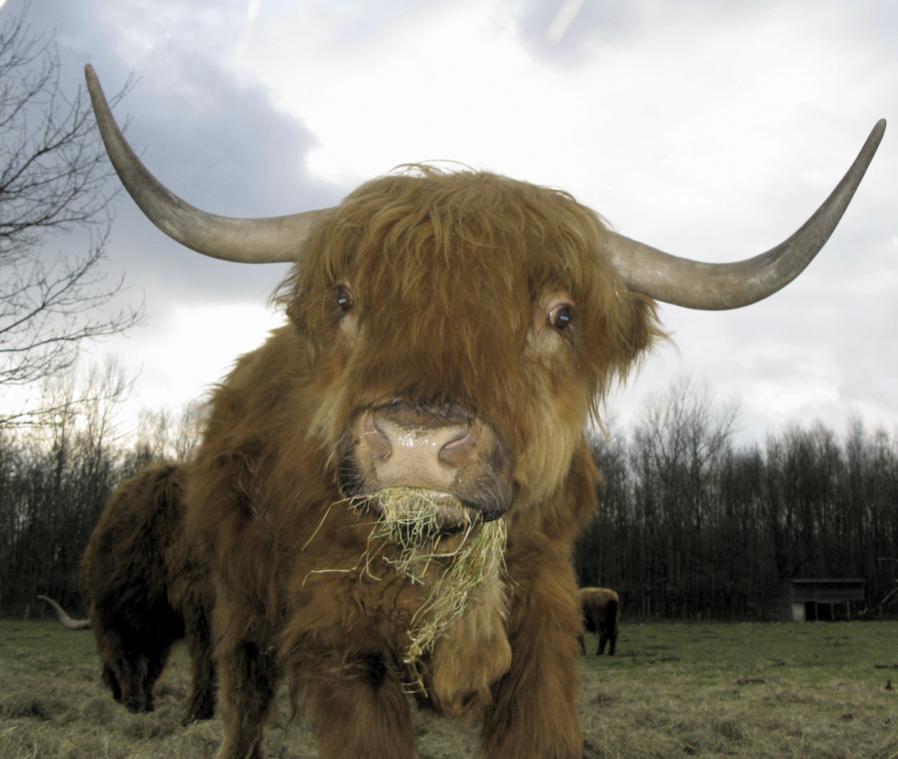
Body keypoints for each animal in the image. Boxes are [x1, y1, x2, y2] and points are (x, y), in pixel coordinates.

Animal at [43, 462, 216, 724]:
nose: (112, 692)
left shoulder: (115, 620)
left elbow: (128, 663)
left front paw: (133, 705)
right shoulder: (157, 631)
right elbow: (151, 669)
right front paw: (145, 704)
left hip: (203, 600)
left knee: (206, 655)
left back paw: (195, 715)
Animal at [84, 64, 884, 758]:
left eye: (561, 314)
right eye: (344, 299)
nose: (415, 441)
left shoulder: (544, 625)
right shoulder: (341, 637)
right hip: (237, 592)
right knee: (243, 688)